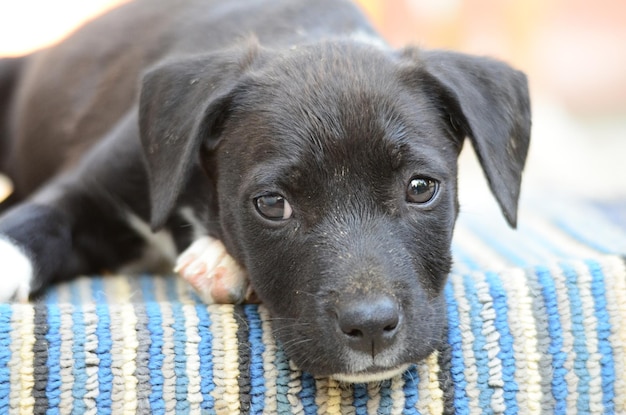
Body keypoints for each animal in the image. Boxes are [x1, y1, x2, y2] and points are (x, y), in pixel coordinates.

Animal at [0, 0, 528, 384]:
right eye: (273, 204)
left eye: (420, 189)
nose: (371, 326)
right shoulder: (91, 187)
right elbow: (36, 223)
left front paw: (216, 259)